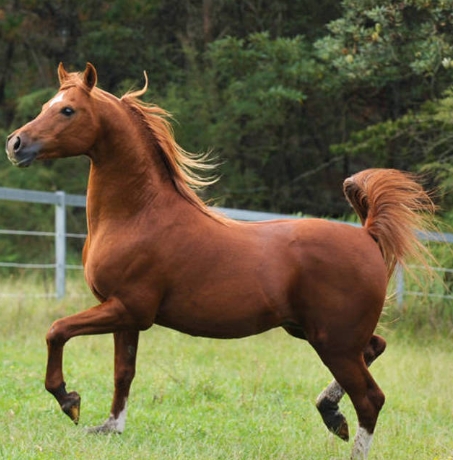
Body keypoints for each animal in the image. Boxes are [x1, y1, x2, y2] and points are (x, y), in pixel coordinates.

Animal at [3, 63, 434, 458]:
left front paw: (69, 401)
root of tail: (367, 234)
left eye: (68, 110)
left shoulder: (128, 308)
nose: (15, 144)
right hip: (320, 332)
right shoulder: (124, 315)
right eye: (45, 105)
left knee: (371, 399)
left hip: (334, 341)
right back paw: (331, 412)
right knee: (375, 349)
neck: (137, 215)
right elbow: (123, 372)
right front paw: (110, 427)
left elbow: (56, 330)